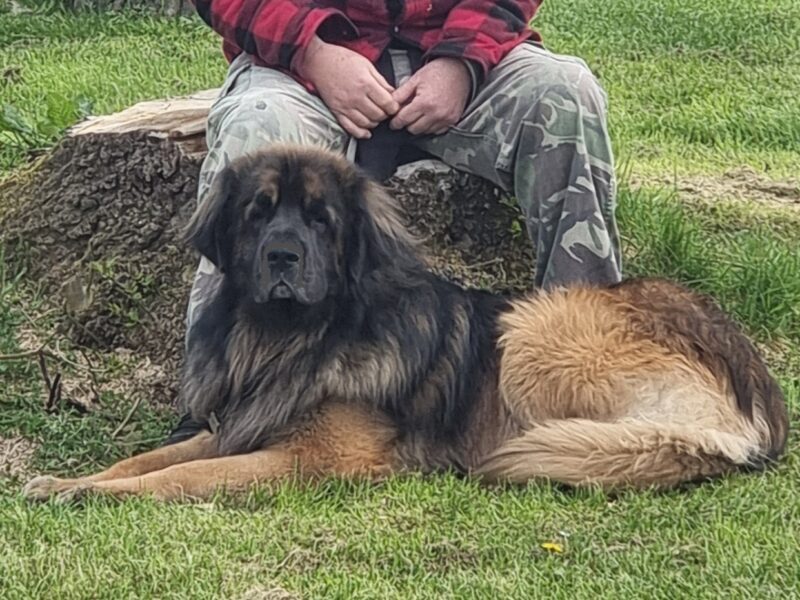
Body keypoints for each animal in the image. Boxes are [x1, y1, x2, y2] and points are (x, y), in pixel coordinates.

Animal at [23, 145, 788, 502]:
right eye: (257, 214)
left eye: (321, 220)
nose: (281, 256)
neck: (293, 340)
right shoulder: (245, 422)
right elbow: (150, 459)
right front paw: (69, 481)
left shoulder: (313, 459)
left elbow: (181, 478)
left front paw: (96, 496)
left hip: (533, 331)